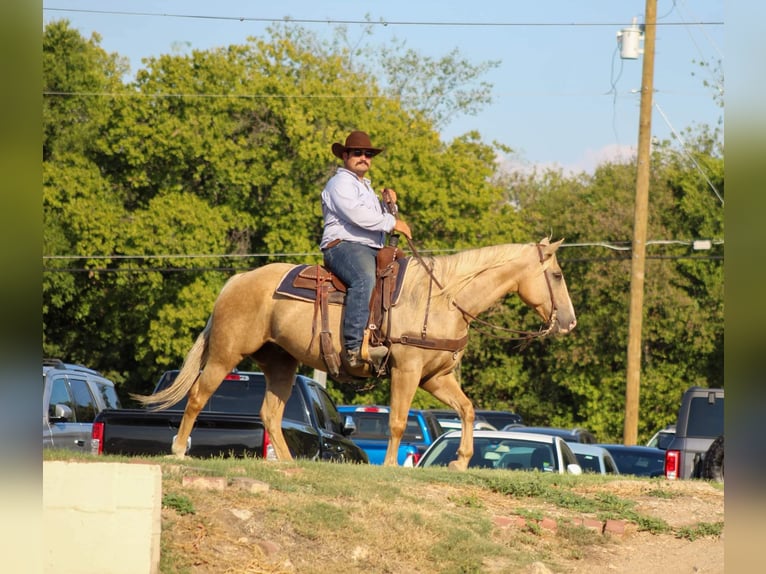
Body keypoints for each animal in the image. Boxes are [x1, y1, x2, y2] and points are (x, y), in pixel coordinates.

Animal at [135, 237, 576, 470]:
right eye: (556, 274)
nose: (569, 322)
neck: (441, 298)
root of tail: (237, 280)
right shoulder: (406, 369)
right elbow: (398, 421)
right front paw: (391, 467)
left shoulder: (437, 376)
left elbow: (466, 411)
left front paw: (461, 461)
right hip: (227, 353)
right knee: (197, 395)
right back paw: (178, 450)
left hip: (281, 363)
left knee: (270, 413)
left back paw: (289, 464)